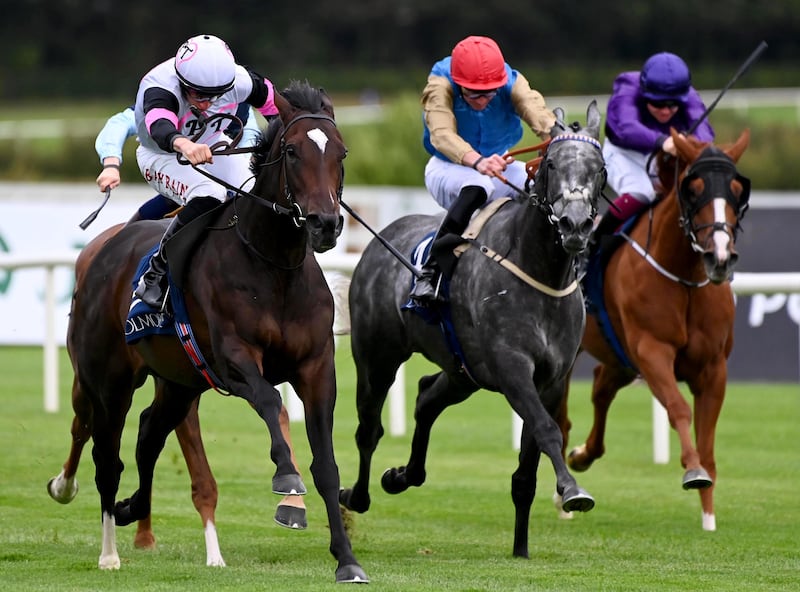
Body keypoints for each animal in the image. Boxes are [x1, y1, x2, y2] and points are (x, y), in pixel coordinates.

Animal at [47, 82, 366, 584]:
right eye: (292, 151)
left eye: (341, 152)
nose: (326, 223)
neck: (273, 265)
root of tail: (102, 253)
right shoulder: (233, 359)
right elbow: (271, 401)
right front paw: (285, 477)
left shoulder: (317, 368)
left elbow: (327, 467)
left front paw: (347, 560)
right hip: (108, 380)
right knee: (106, 455)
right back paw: (107, 550)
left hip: (179, 382)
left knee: (147, 434)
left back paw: (129, 510)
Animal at [564, 126, 752, 532]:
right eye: (693, 188)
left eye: (736, 188)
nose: (720, 257)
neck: (684, 276)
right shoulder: (652, 351)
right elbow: (678, 408)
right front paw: (692, 470)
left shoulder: (713, 367)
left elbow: (708, 441)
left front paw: (709, 518)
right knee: (561, 416)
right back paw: (564, 499)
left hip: (619, 356)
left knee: (601, 387)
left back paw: (583, 455)